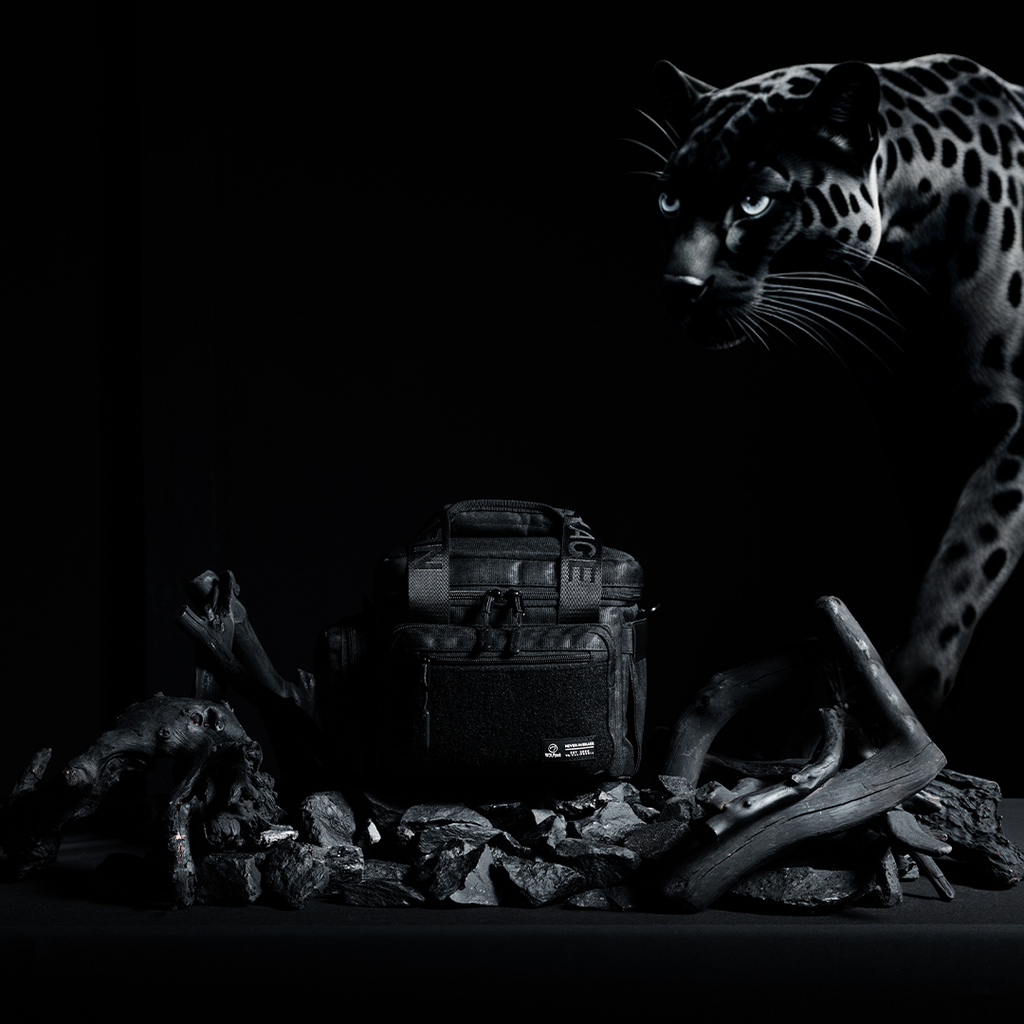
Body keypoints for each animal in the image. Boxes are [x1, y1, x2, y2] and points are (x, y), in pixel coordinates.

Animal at [634, 54, 1023, 720]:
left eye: (755, 203)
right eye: (668, 199)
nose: (679, 288)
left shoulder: (1011, 427)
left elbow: (965, 558)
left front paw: (908, 692)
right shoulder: (915, 435)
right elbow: (938, 551)